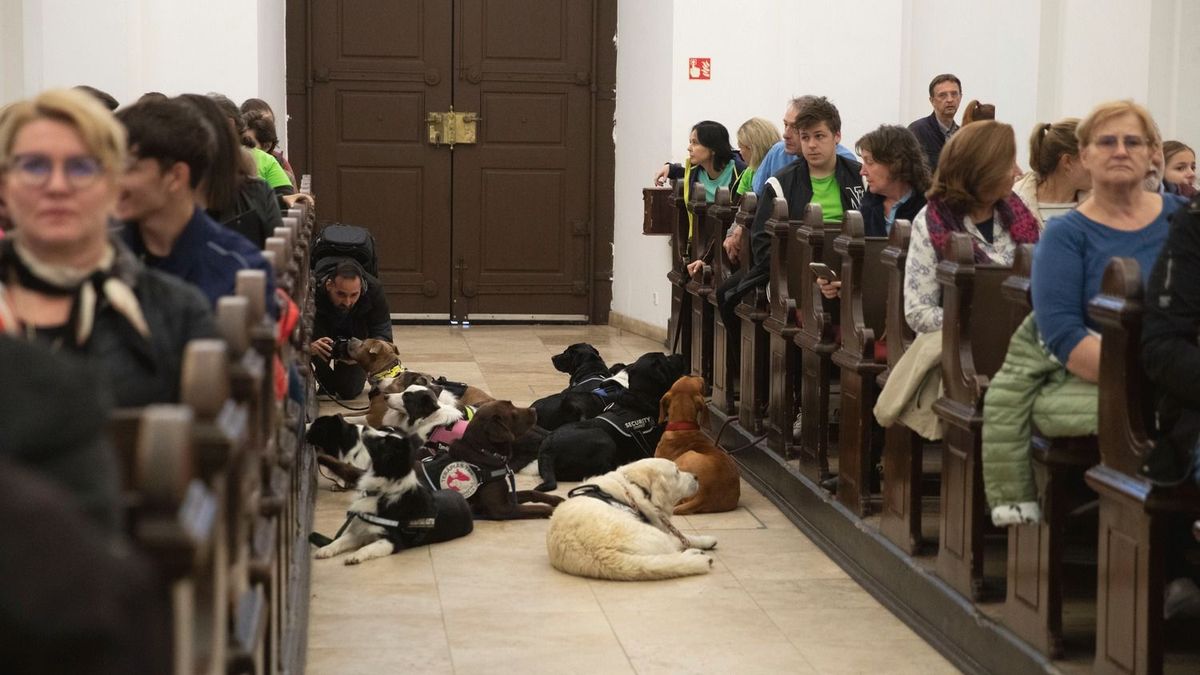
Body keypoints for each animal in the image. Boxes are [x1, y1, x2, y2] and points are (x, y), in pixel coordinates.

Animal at [314, 425, 472, 562]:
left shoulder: (392, 541)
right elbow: (340, 540)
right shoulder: (361, 530)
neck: (381, 493)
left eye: (384, 441)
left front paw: (355, 556)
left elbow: (368, 547)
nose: (365, 427)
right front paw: (326, 549)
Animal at [547, 456, 720, 578]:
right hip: (655, 535)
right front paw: (705, 540)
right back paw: (696, 553)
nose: (696, 476)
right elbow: (684, 537)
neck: (635, 487)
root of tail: (603, 554)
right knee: (677, 546)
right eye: (677, 472)